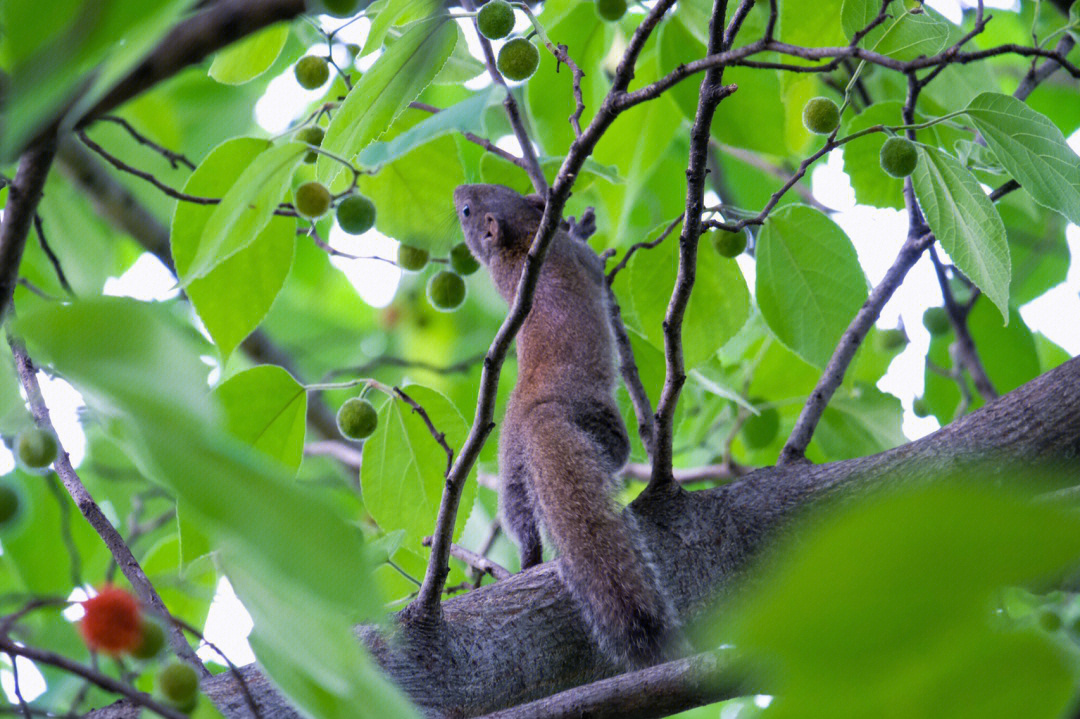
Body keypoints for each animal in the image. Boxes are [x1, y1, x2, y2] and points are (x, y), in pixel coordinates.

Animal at [453, 183, 673, 665]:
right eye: (467, 209)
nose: (457, 191)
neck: (520, 248)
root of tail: (538, 415)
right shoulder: (576, 257)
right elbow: (594, 264)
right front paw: (582, 227)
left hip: (512, 479)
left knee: (524, 528)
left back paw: (528, 563)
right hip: (604, 422)